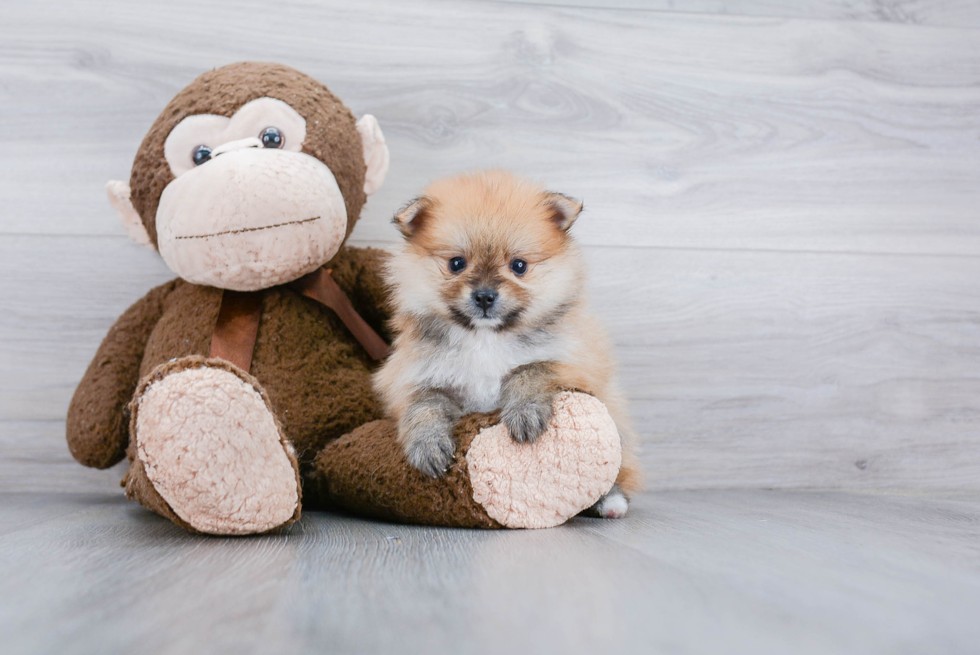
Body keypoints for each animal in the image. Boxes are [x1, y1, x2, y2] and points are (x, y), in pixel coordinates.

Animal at [372, 172, 640, 520]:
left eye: (519, 266)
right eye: (456, 264)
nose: (485, 296)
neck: (485, 338)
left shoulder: (575, 362)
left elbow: (530, 370)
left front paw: (524, 413)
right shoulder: (414, 375)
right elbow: (423, 405)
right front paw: (427, 444)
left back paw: (611, 501)